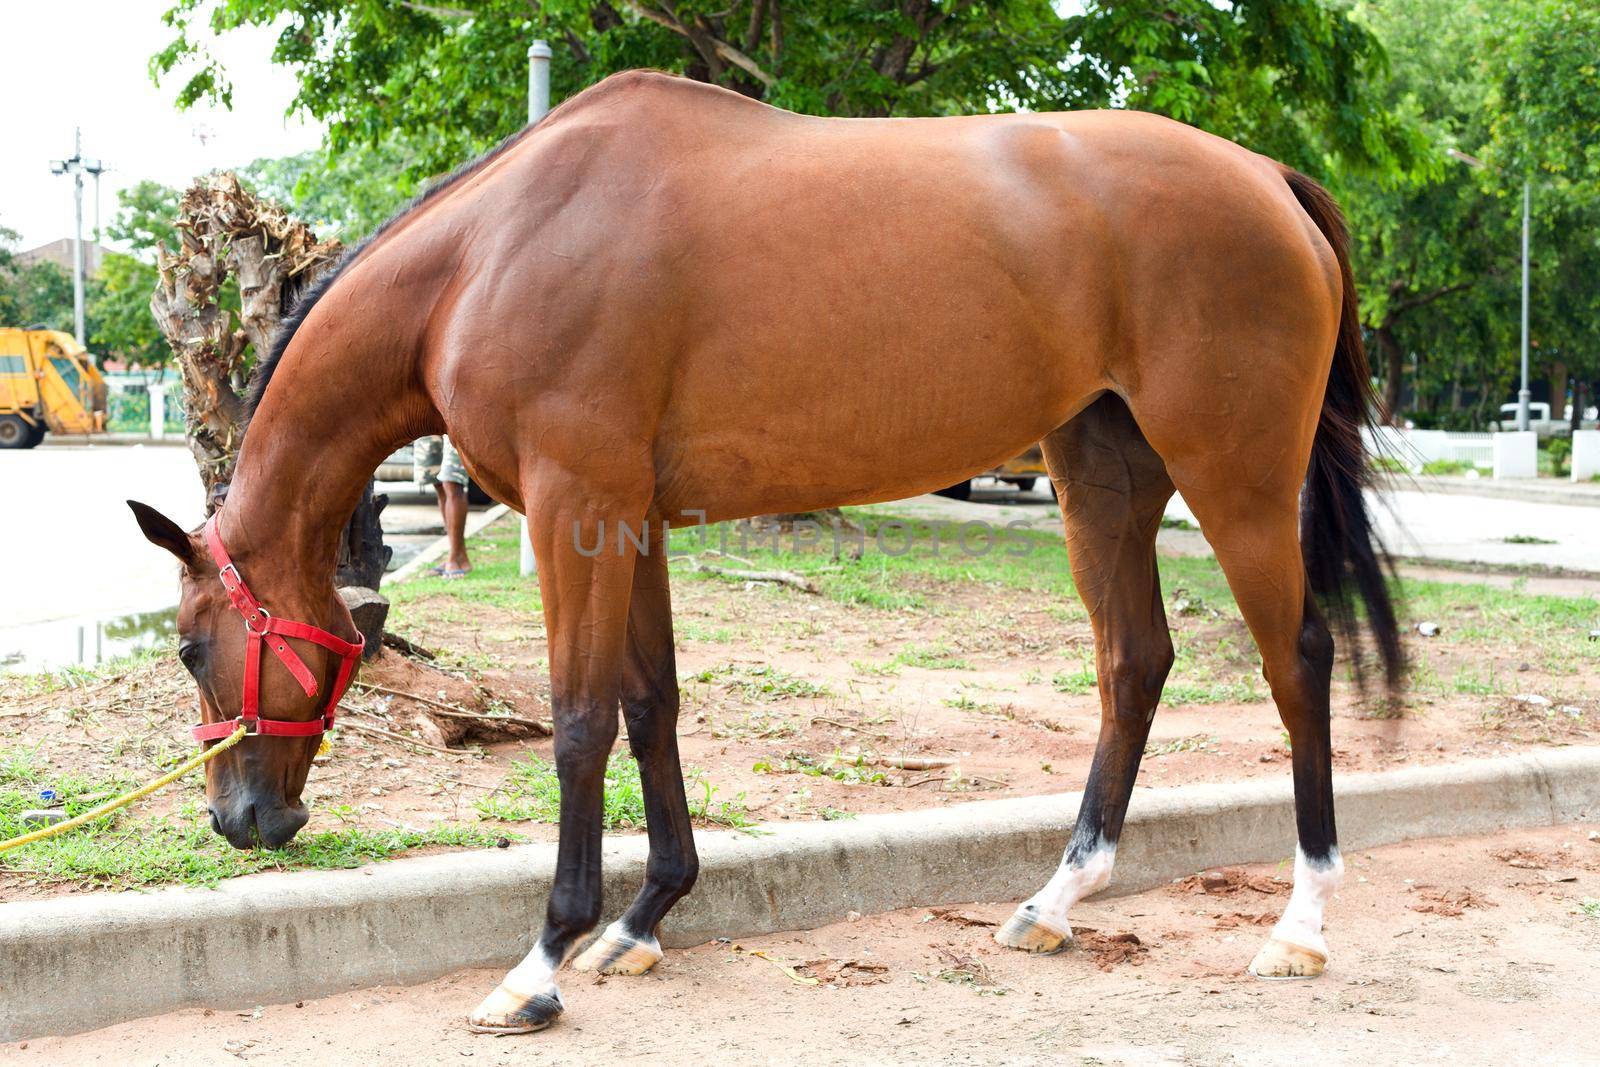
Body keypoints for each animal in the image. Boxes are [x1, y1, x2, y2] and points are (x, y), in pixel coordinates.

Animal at [128, 68, 1401, 1036]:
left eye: (190, 647)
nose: (241, 819)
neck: (489, 254)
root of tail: (1267, 177)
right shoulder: (628, 519)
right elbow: (651, 703)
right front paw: (643, 919)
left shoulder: (572, 508)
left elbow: (579, 720)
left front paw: (541, 961)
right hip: (1101, 474)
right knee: (1134, 661)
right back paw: (1055, 898)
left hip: (1236, 479)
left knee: (1298, 657)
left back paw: (1300, 922)